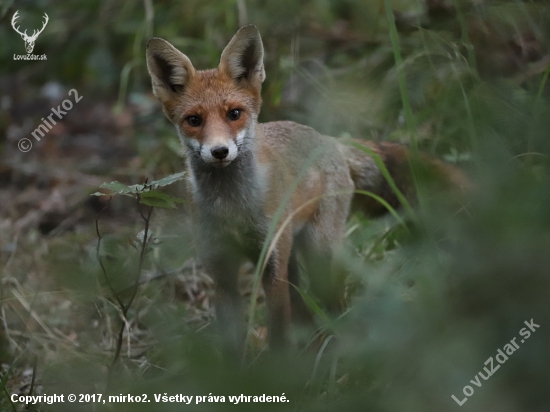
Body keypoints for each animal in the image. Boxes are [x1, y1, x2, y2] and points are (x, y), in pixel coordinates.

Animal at [146, 24, 466, 350]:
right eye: (194, 120)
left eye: (234, 114)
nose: (220, 151)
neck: (233, 207)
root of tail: (328, 139)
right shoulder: (221, 270)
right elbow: (232, 345)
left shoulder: (272, 266)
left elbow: (279, 338)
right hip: (294, 258)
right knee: (306, 315)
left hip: (319, 255)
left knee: (337, 307)